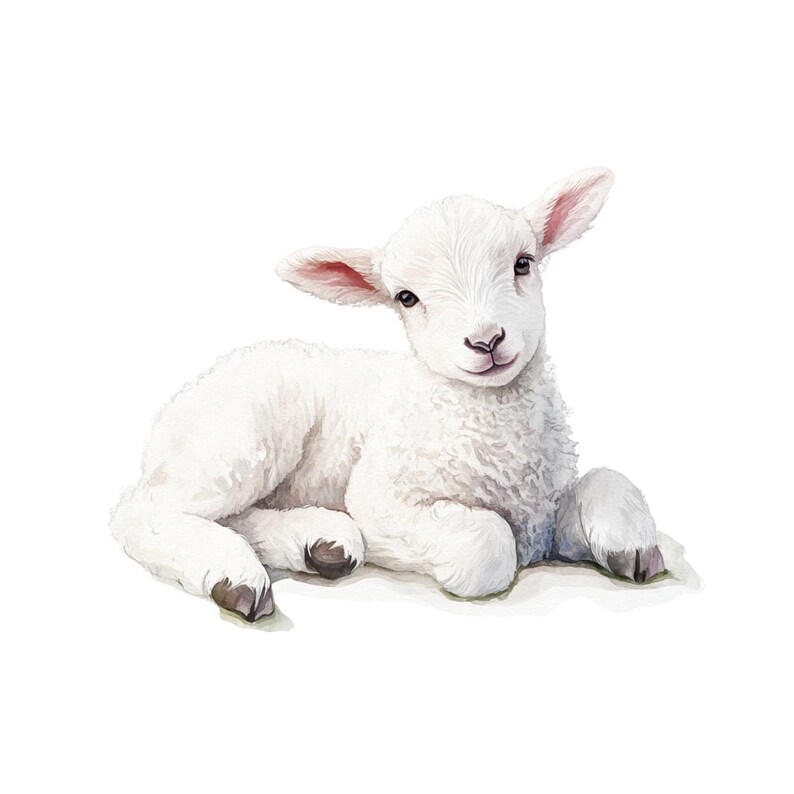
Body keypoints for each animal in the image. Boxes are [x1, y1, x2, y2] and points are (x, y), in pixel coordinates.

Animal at [111, 167, 664, 621]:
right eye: (406, 298)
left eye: (523, 264)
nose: (486, 341)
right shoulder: (382, 498)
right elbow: (486, 544)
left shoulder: (543, 516)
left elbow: (609, 478)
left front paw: (633, 549)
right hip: (245, 434)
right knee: (143, 513)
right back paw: (236, 575)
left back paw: (320, 544)